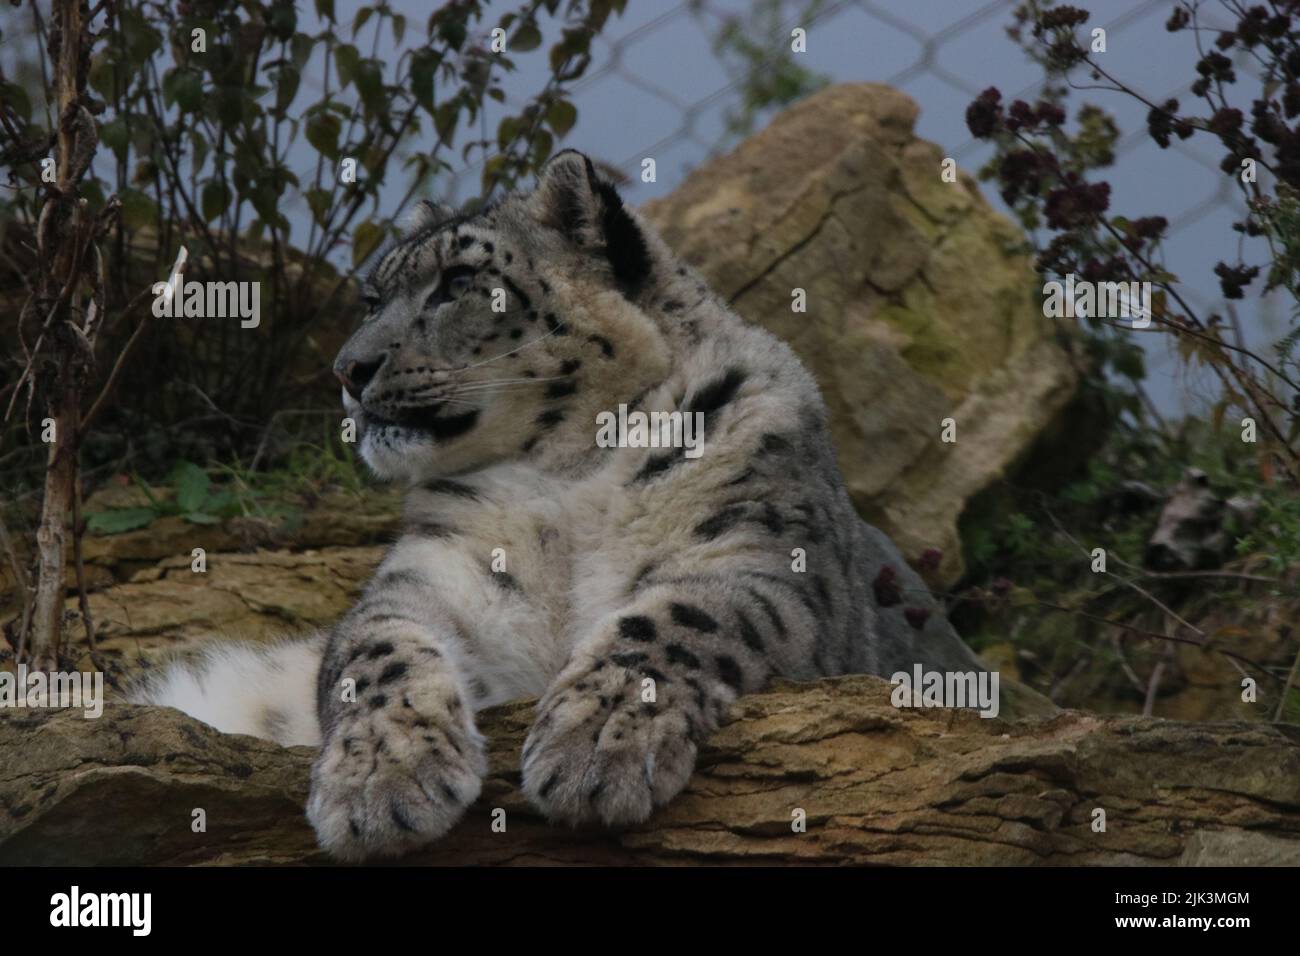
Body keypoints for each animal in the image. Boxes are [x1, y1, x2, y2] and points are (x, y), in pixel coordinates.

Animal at [134, 149, 982, 858]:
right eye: (373, 297)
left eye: (458, 283)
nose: (349, 368)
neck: (567, 474)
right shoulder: (431, 576)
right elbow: (373, 650)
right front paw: (383, 781)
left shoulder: (765, 558)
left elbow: (676, 619)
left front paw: (596, 744)